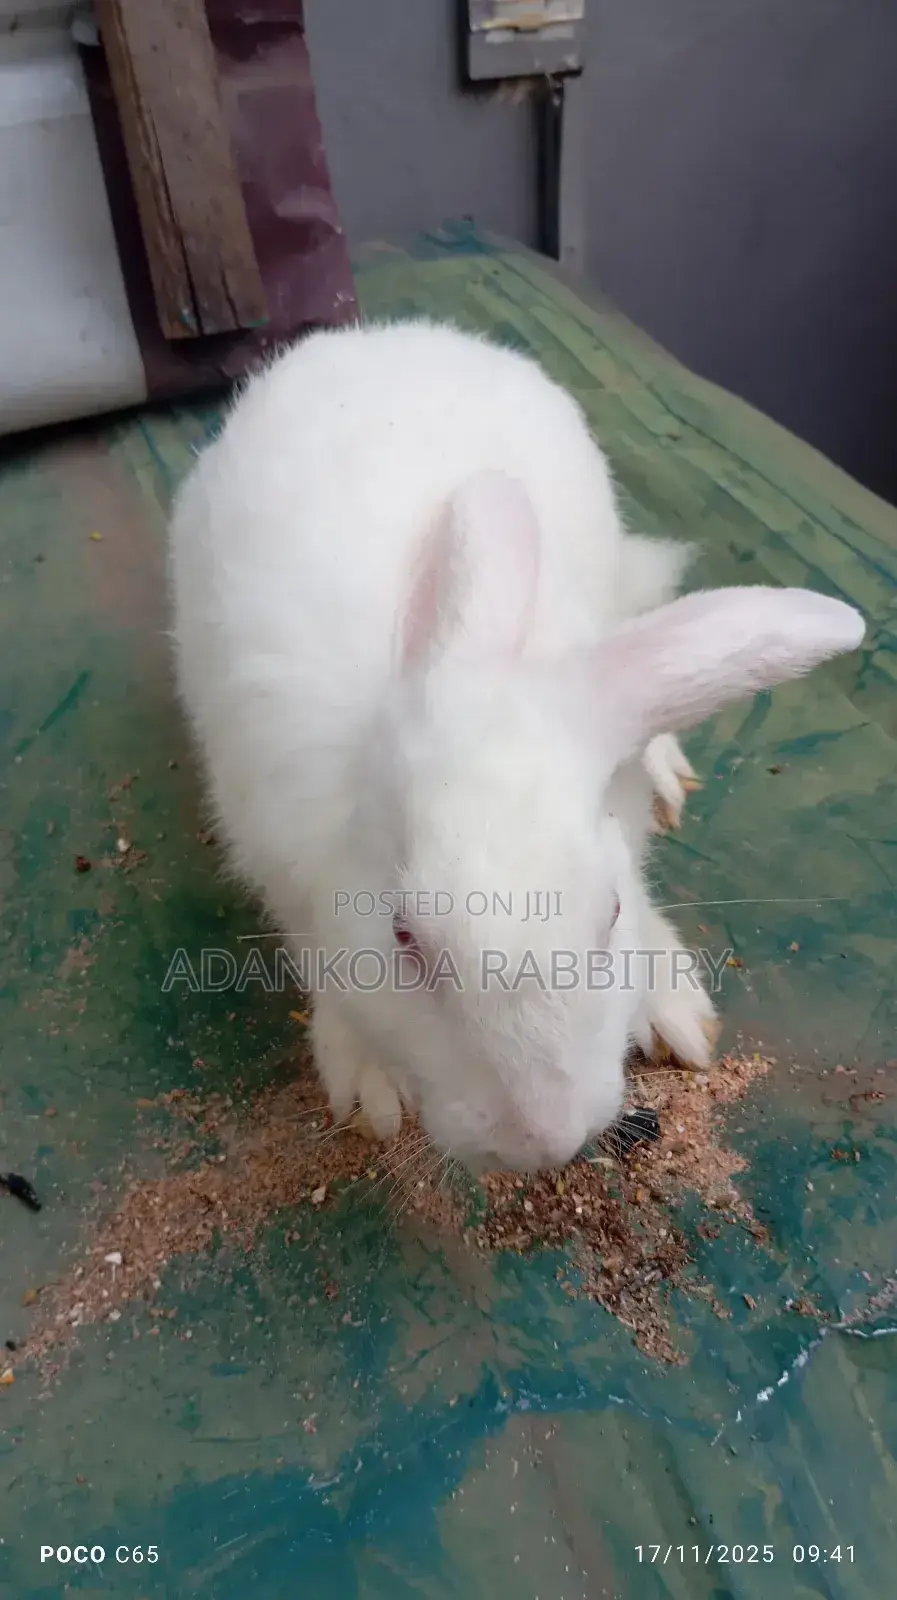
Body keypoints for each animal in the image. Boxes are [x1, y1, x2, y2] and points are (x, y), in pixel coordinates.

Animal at [168, 319, 864, 1175]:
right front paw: (369, 1082)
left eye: (608, 913)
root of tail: (392, 333)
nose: (544, 1140)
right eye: (403, 937)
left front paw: (669, 1001)